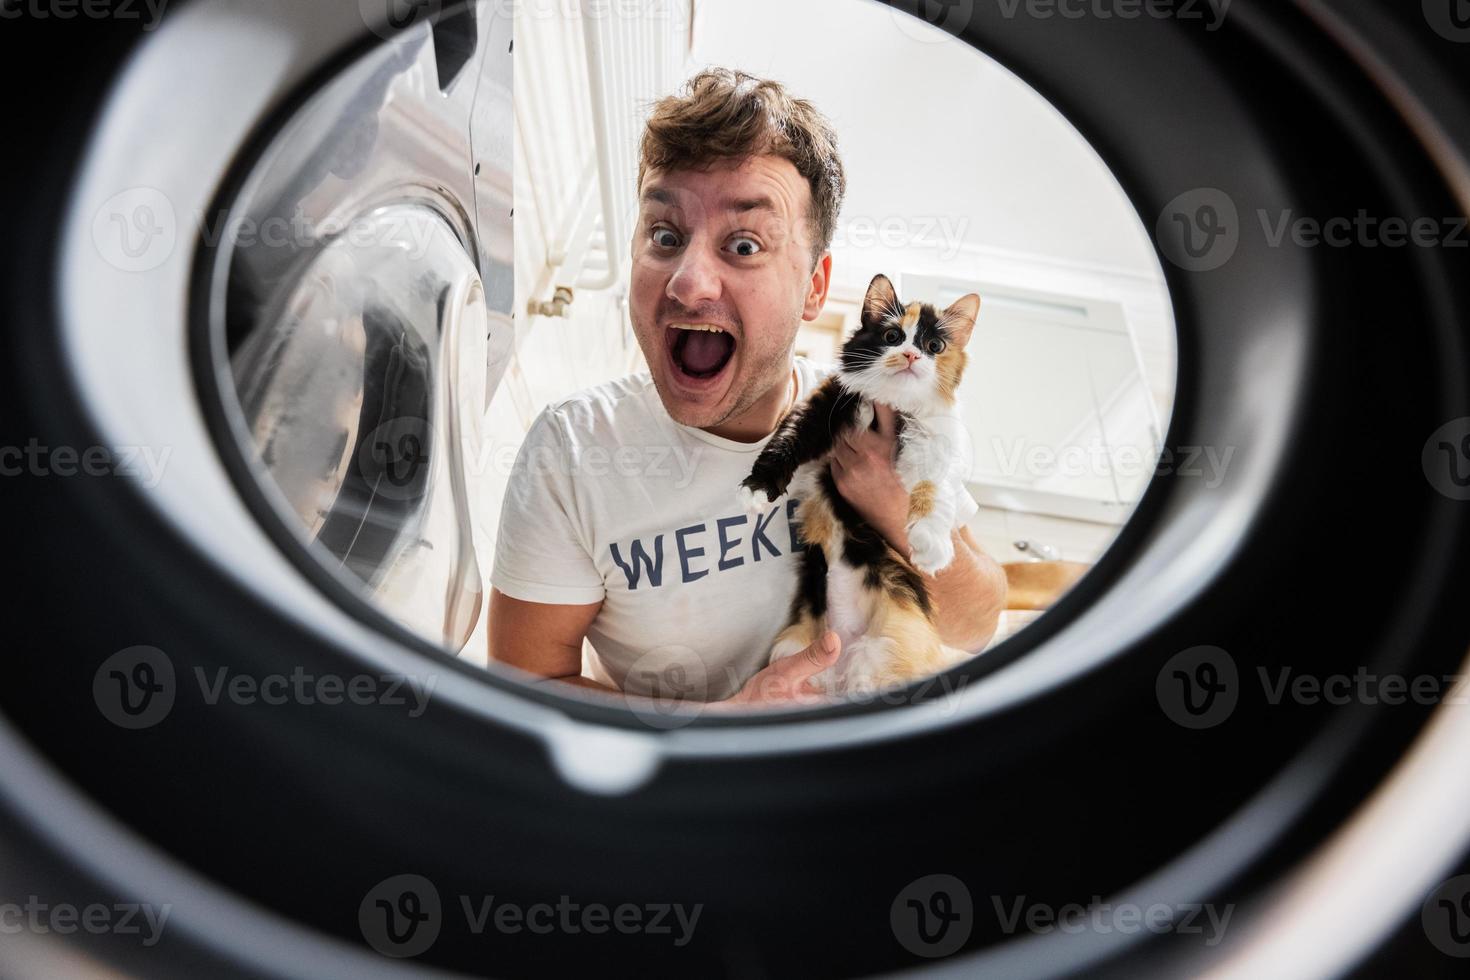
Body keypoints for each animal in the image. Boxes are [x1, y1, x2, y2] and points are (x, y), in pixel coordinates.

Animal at [740, 271, 981, 693]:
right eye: (892, 336)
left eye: (934, 346)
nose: (910, 356)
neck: (891, 402)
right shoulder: (823, 407)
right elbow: (783, 444)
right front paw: (756, 490)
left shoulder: (932, 440)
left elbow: (931, 488)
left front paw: (930, 544)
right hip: (793, 646)